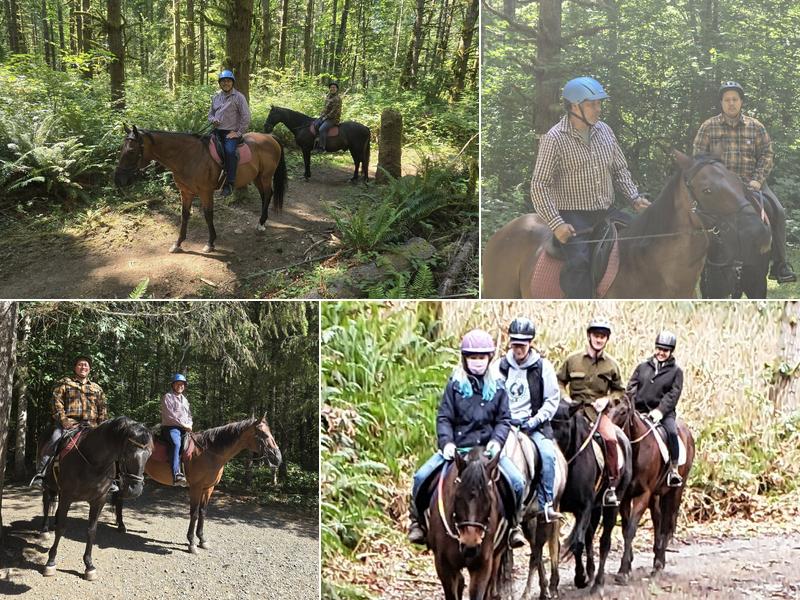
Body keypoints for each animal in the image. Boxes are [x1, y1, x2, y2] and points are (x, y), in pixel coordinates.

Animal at [37, 416, 153, 581]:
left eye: (149, 454)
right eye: (128, 452)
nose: (135, 490)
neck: (92, 462)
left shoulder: (99, 500)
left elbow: (91, 531)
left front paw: (89, 565)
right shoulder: (67, 496)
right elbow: (61, 528)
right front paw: (51, 562)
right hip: (48, 486)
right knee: (47, 503)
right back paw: (45, 530)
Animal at [113, 125, 288, 253]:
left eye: (131, 151)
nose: (119, 180)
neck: (187, 156)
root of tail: (270, 137)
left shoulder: (205, 192)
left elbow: (208, 215)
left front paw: (210, 243)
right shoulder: (185, 192)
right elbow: (184, 216)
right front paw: (178, 243)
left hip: (265, 176)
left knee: (268, 194)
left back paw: (261, 224)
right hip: (257, 177)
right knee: (265, 195)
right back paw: (262, 221)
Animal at [113, 415, 282, 554]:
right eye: (263, 434)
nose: (278, 458)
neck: (209, 453)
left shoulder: (208, 488)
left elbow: (203, 512)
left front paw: (202, 540)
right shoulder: (196, 487)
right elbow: (194, 513)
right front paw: (192, 543)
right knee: (119, 497)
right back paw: (121, 525)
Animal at [550, 401, 632, 596]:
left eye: (561, 424)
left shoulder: (583, 509)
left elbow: (577, 544)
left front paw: (580, 578)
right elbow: (558, 546)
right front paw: (554, 585)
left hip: (612, 505)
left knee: (604, 542)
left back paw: (598, 583)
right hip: (596, 509)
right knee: (589, 537)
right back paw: (591, 572)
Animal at [608, 398, 695, 583]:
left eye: (623, 411)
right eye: (607, 409)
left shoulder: (643, 495)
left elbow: (631, 530)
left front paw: (623, 571)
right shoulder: (625, 496)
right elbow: (626, 529)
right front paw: (627, 564)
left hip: (675, 491)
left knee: (666, 525)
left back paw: (659, 564)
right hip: (656, 496)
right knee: (658, 520)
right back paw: (657, 558)